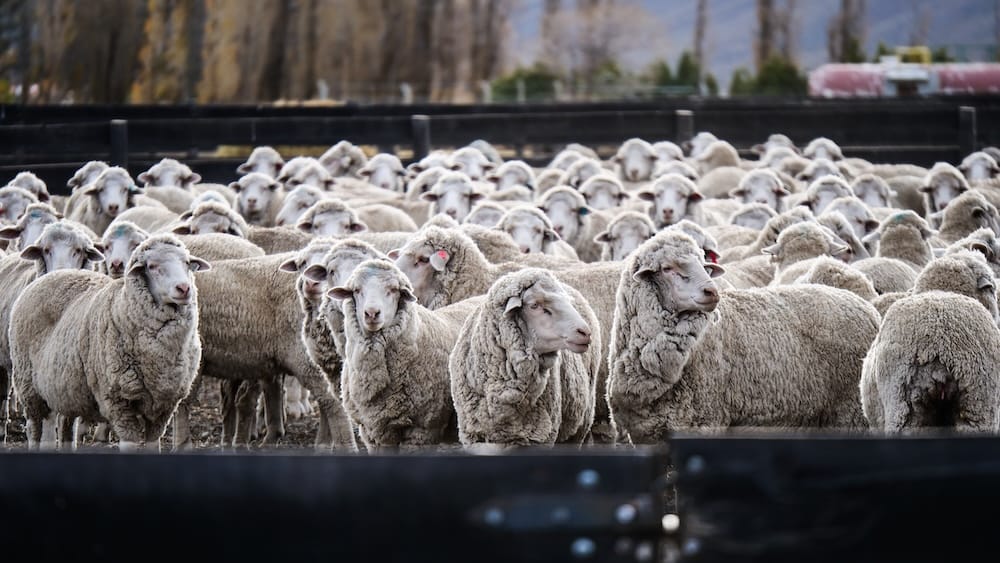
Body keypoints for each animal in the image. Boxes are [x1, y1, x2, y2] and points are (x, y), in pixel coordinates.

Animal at [10, 235, 203, 451]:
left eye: (187, 263)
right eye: (152, 266)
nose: (184, 288)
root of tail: (51, 275)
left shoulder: (164, 406)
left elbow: (154, 443)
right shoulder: (118, 402)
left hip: (65, 389)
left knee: (64, 424)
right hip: (28, 385)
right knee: (37, 428)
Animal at [607, 231, 877, 444]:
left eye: (704, 265)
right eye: (667, 268)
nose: (712, 291)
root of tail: (867, 308)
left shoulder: (704, 424)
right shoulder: (645, 434)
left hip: (850, 412)